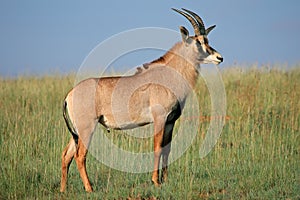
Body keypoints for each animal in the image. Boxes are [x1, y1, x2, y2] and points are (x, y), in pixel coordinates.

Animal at [60, 8, 223, 192]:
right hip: (87, 128)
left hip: (78, 131)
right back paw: (89, 189)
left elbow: (167, 149)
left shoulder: (170, 121)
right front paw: (155, 181)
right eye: (198, 42)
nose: (219, 58)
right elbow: (157, 148)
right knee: (80, 156)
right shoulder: (159, 118)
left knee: (66, 155)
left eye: (207, 40)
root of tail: (70, 95)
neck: (169, 73)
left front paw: (165, 180)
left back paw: (63, 189)